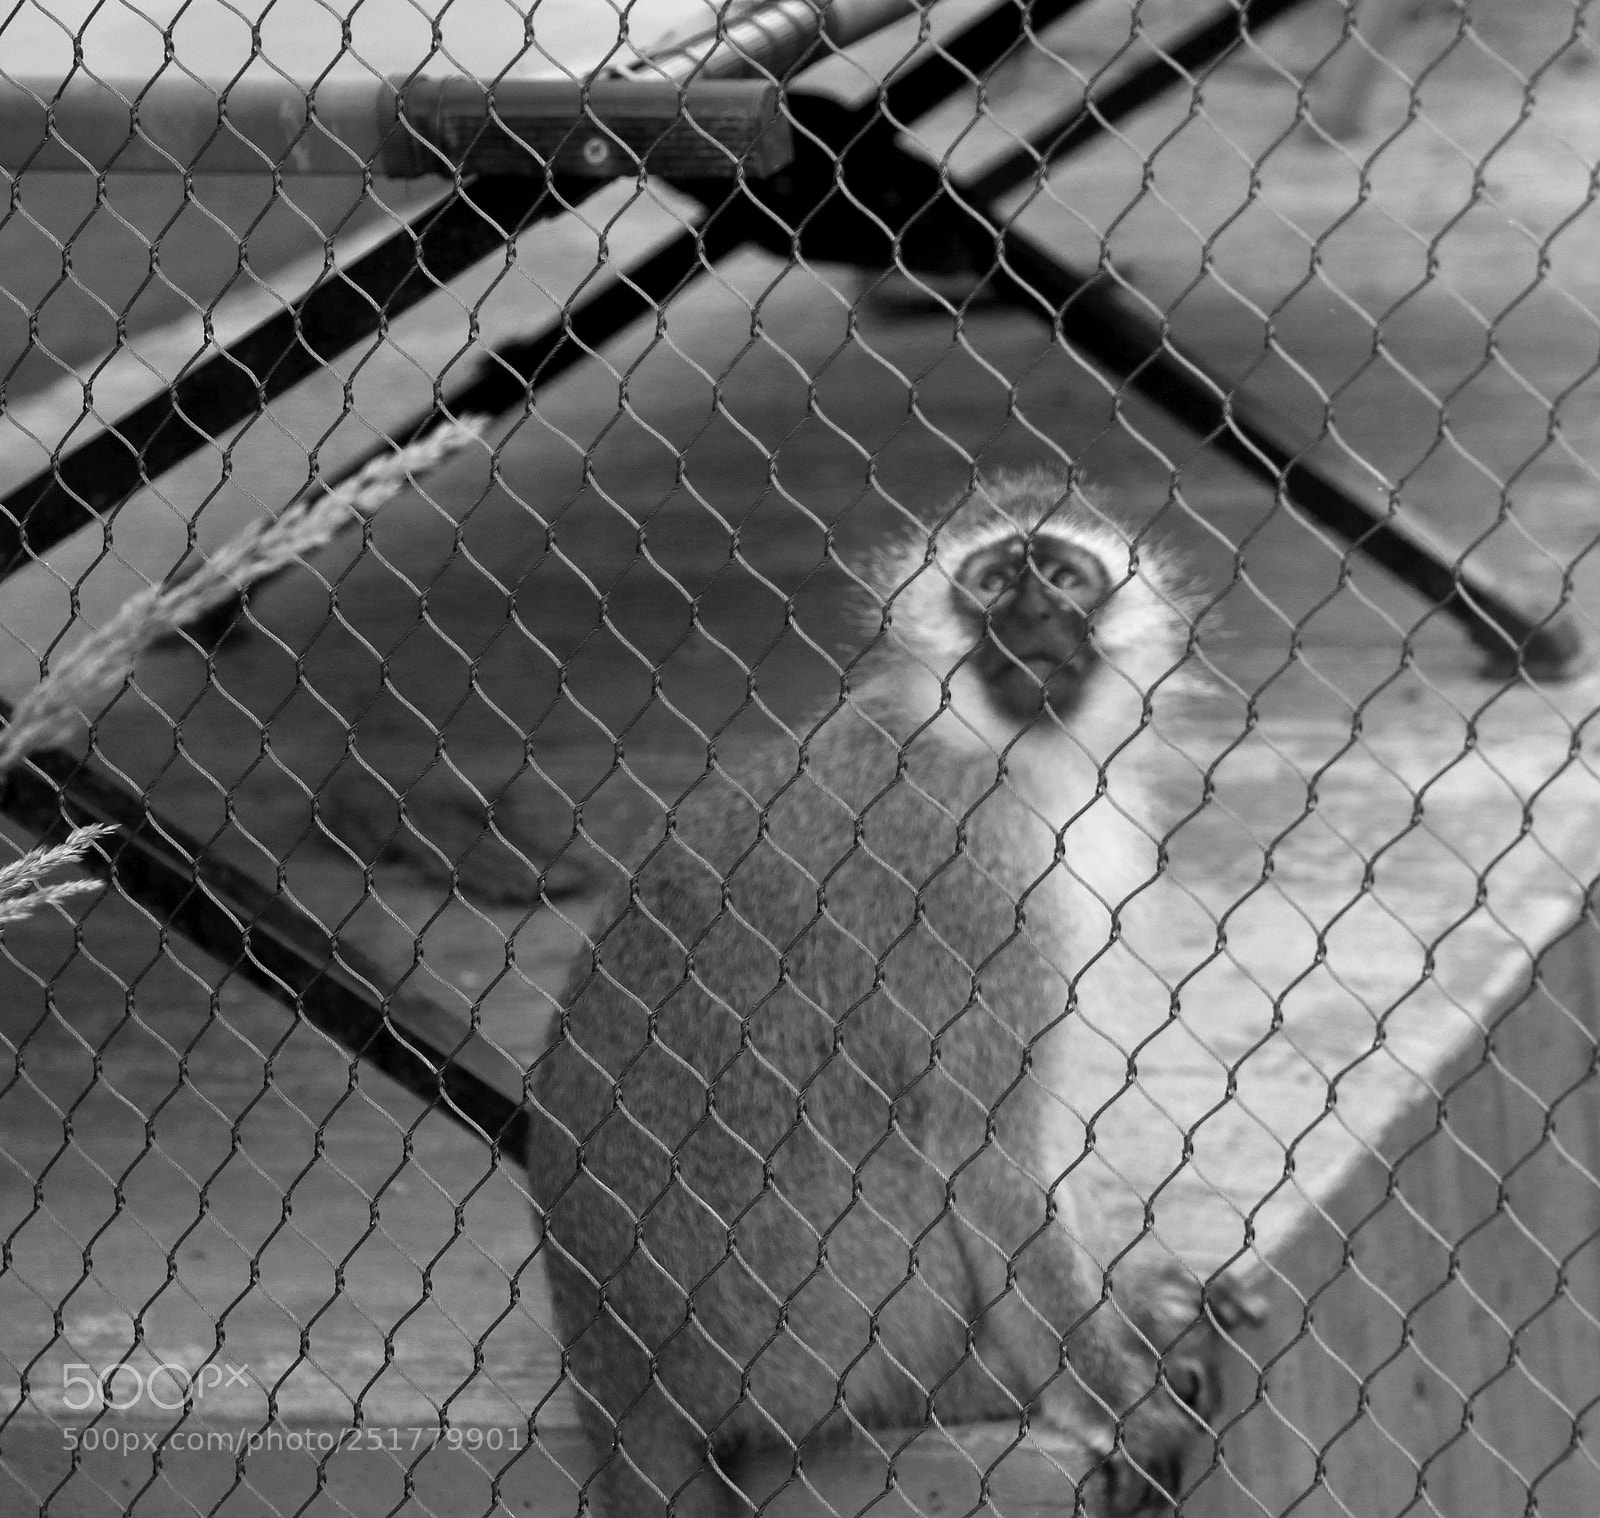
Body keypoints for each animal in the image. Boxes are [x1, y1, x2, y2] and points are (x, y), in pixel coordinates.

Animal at [526, 468, 1257, 1516]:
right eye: (993, 583)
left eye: (1061, 576)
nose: (1032, 615)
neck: (992, 750)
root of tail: (620, 1378)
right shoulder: (973, 894)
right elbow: (981, 1150)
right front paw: (1121, 1401)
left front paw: (1132, 1305)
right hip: (798, 1345)